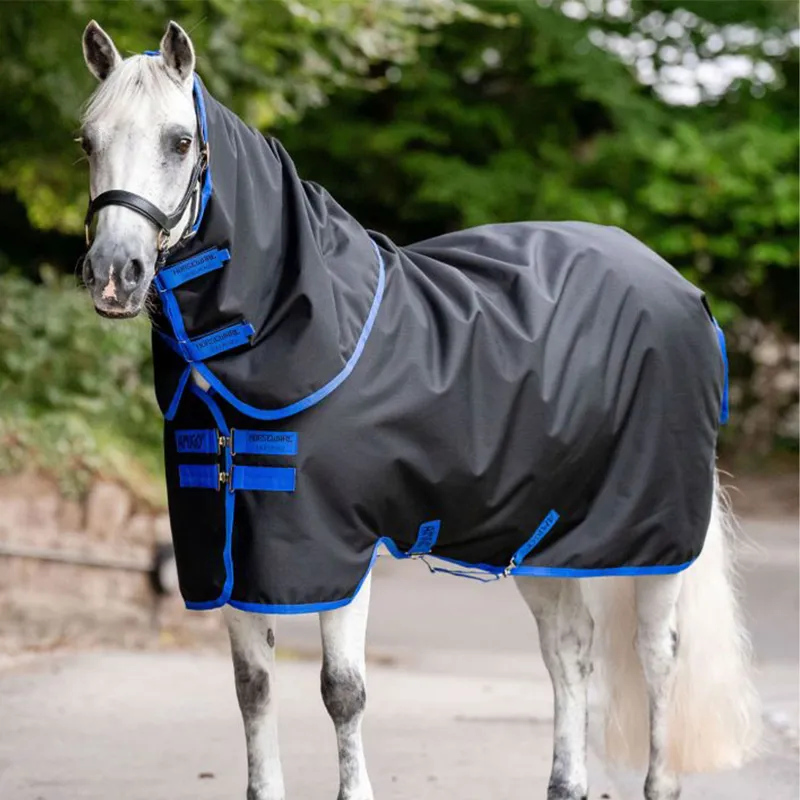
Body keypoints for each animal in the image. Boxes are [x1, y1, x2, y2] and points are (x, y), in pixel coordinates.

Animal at [77, 20, 761, 800]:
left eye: (179, 140)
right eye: (87, 140)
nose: (114, 275)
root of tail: (684, 291)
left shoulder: (337, 549)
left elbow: (342, 691)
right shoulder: (232, 550)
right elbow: (253, 688)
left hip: (656, 538)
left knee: (658, 655)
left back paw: (659, 780)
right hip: (542, 535)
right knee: (570, 651)